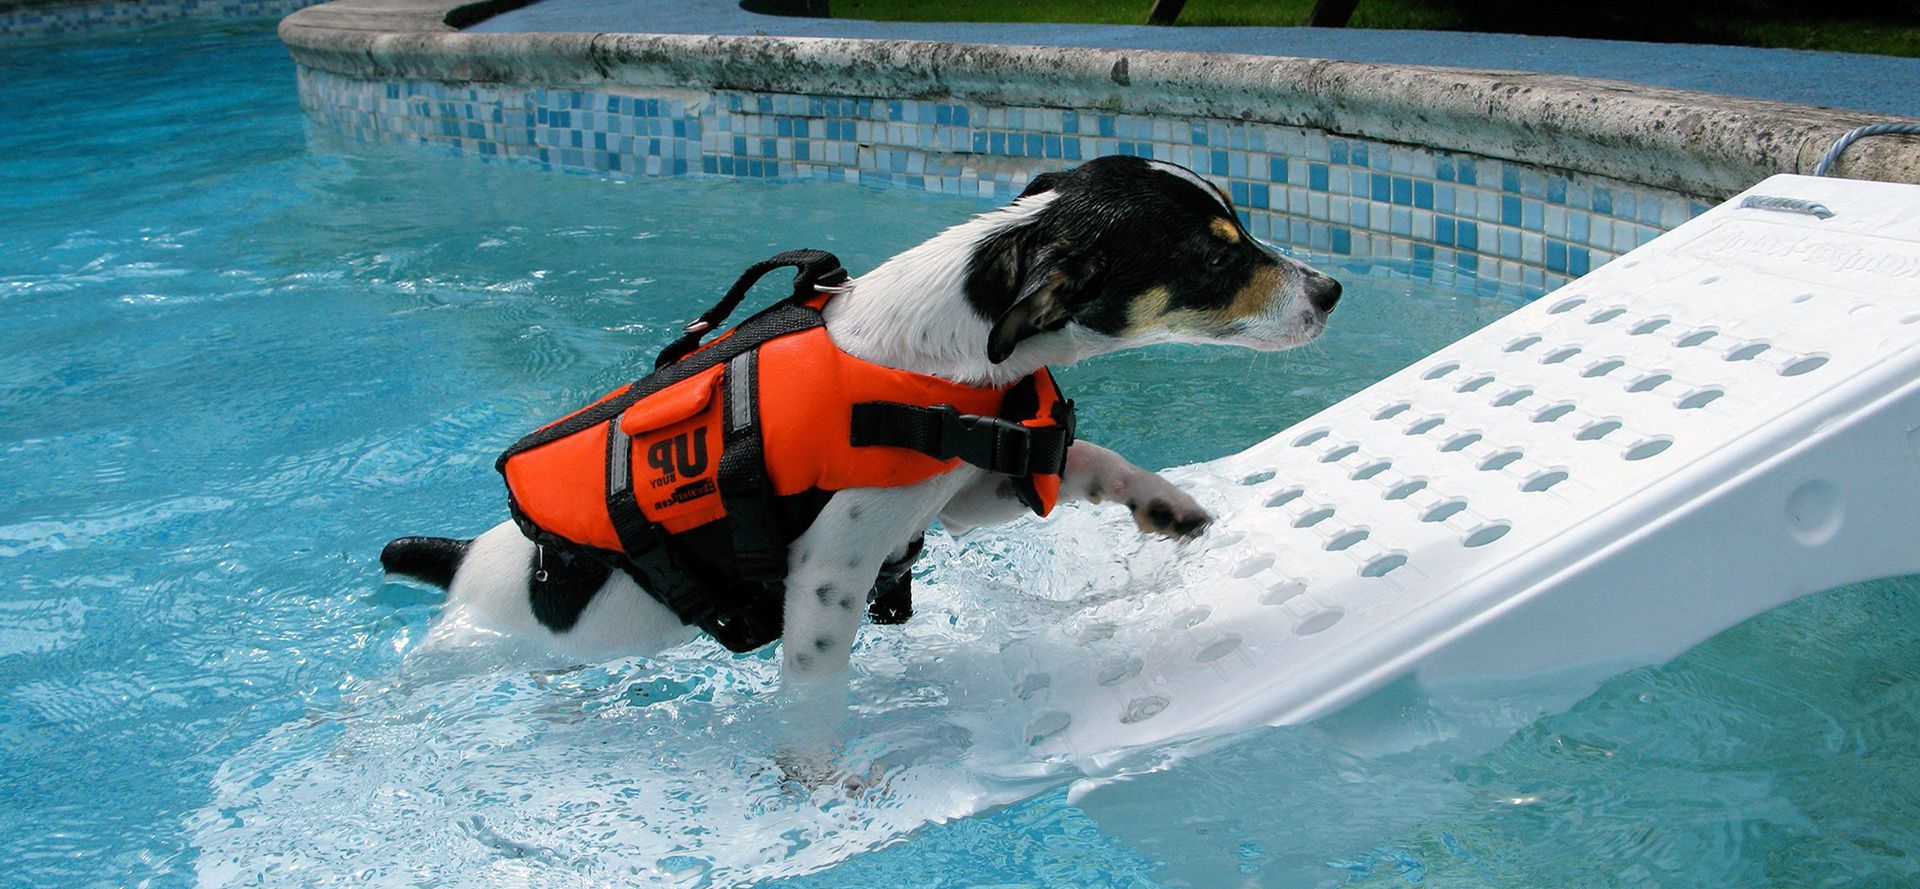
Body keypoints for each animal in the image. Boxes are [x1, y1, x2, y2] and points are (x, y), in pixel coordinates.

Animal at [374, 153, 1336, 764]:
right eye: (1213, 253)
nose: (1330, 289)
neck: (938, 347)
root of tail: (461, 564)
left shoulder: (964, 491)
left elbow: (1089, 458)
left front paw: (1162, 502)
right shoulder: (828, 576)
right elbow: (812, 694)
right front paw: (813, 781)